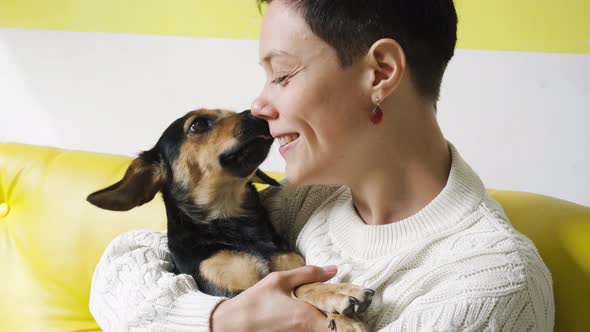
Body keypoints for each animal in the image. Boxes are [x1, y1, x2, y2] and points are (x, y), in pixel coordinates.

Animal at [88, 108, 374, 330]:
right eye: (198, 124)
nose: (261, 114)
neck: (234, 224)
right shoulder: (238, 294)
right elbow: (298, 288)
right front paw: (339, 294)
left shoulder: (291, 266)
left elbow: (304, 280)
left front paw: (343, 314)